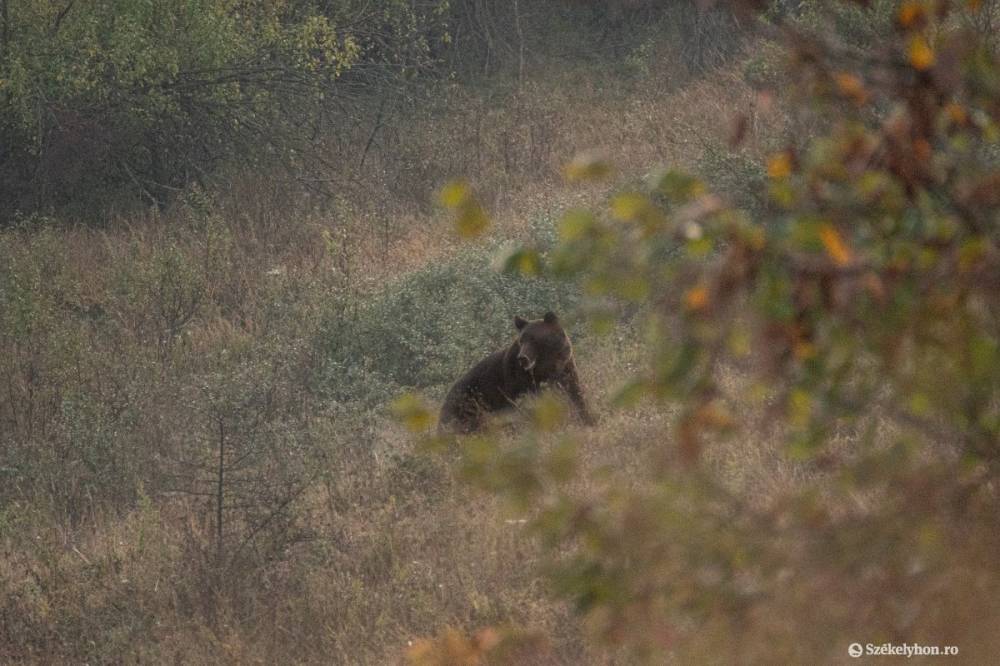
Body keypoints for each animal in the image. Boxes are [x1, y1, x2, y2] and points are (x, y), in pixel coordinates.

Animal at [440, 310, 592, 434]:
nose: (522, 358)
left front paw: (587, 419)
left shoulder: (566, 368)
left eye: (534, 339)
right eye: (522, 339)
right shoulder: (517, 381)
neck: (544, 368)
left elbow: (575, 394)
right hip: (468, 405)